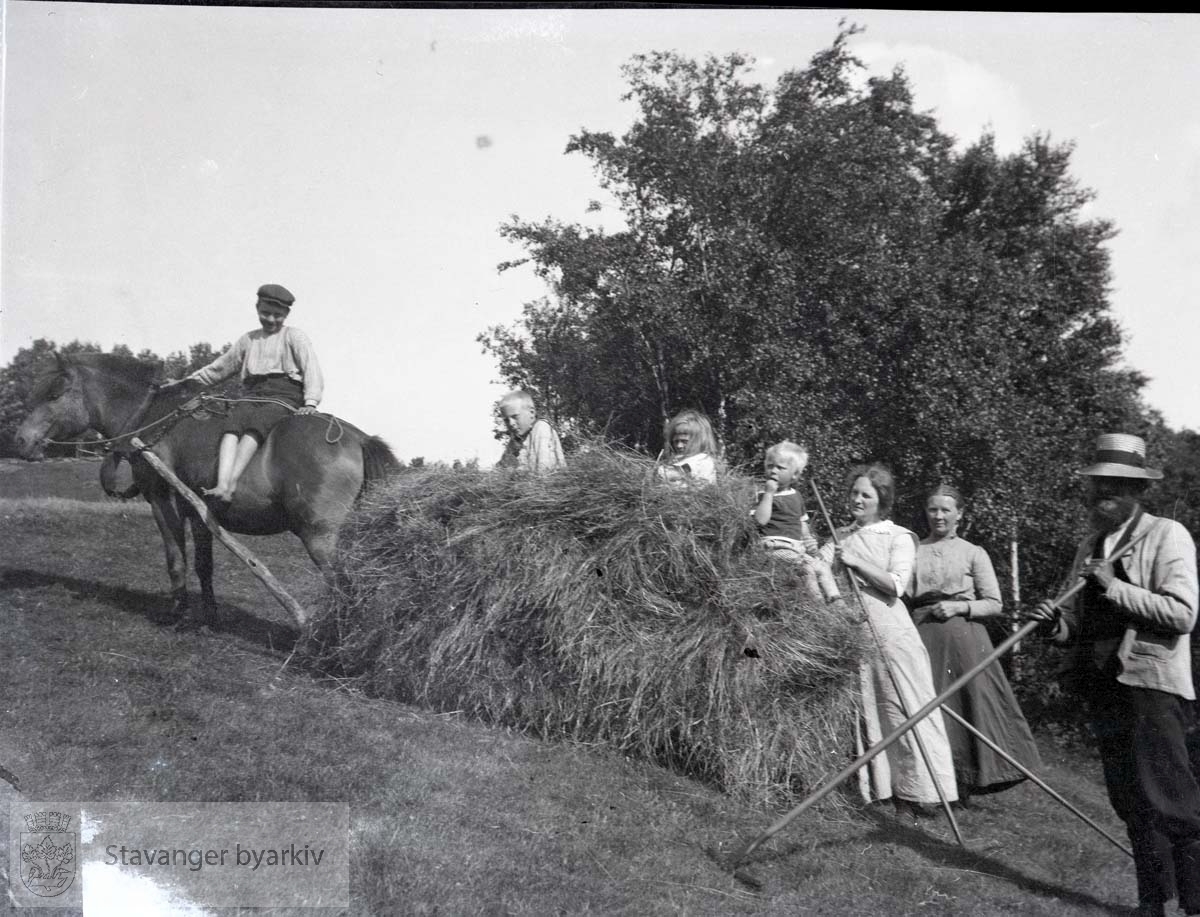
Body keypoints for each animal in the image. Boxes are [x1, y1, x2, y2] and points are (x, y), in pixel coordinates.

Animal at [12, 348, 398, 624]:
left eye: (54, 395)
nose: (20, 442)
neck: (152, 418)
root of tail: (358, 439)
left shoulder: (160, 497)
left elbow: (175, 557)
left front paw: (179, 612)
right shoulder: (197, 510)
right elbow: (203, 563)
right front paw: (209, 616)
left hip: (321, 537)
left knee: (343, 587)